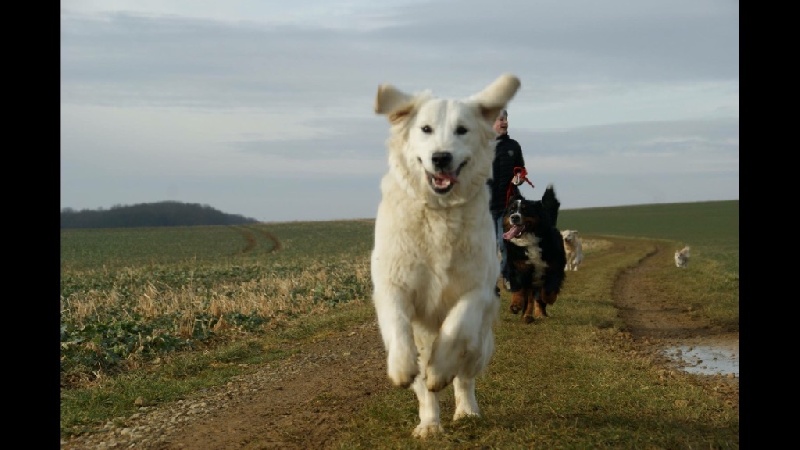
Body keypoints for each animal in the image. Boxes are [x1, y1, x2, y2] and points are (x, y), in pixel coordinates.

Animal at [368, 73, 520, 436]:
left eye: (462, 130)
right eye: (425, 129)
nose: (441, 157)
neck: (439, 212)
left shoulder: (478, 291)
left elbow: (456, 325)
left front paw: (440, 369)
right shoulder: (391, 283)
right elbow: (397, 323)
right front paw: (400, 365)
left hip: (481, 345)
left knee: (465, 377)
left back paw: (466, 410)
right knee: (425, 390)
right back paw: (429, 424)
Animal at [504, 185, 564, 324]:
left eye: (525, 210)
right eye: (511, 210)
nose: (514, 217)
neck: (530, 241)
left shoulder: (554, 267)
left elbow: (548, 290)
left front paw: (549, 299)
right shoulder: (519, 267)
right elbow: (519, 289)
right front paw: (516, 305)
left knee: (537, 297)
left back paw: (540, 314)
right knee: (530, 298)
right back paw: (527, 316)